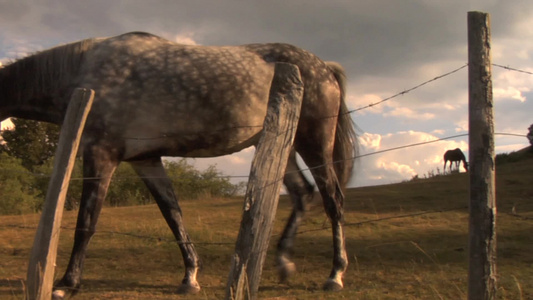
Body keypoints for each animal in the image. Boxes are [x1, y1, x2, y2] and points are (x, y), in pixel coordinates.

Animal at [1, 31, 358, 298]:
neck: (83, 75)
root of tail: (324, 66)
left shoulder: (100, 155)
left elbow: (86, 222)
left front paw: (66, 284)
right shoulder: (145, 160)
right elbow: (173, 214)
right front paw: (190, 277)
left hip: (314, 143)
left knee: (333, 200)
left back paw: (335, 275)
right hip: (282, 147)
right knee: (303, 194)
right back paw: (284, 263)